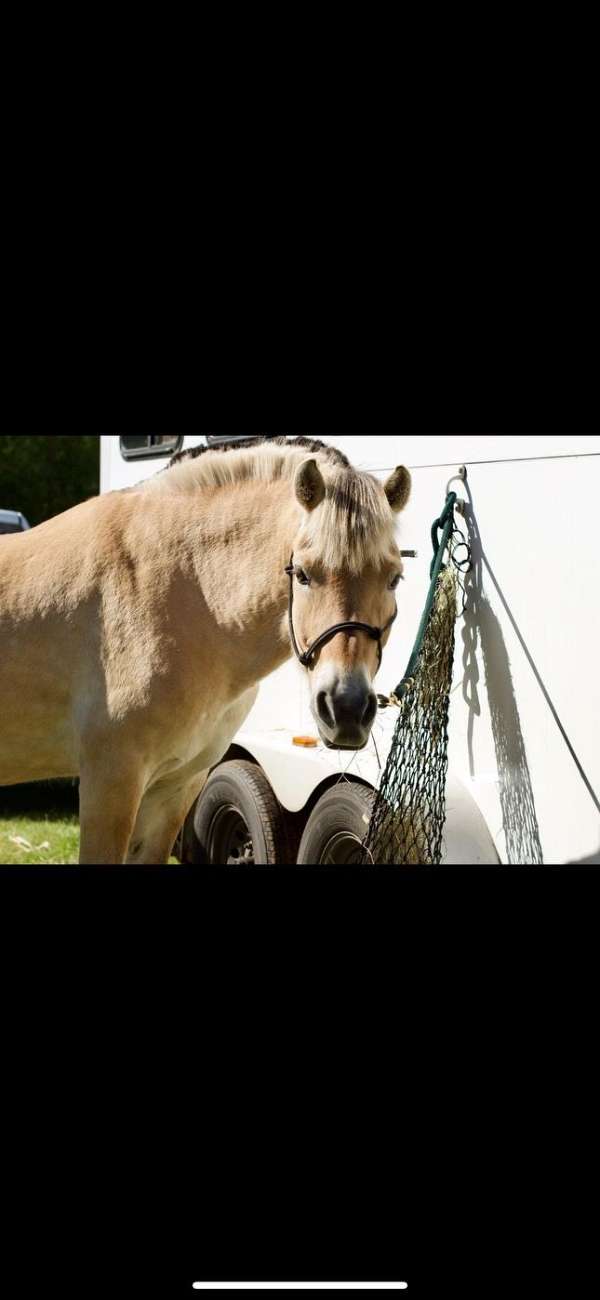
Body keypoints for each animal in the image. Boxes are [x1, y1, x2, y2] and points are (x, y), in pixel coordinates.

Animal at [0, 436, 410, 863]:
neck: (185, 593)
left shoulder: (174, 788)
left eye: (394, 578)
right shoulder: (111, 782)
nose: (346, 708)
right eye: (303, 574)